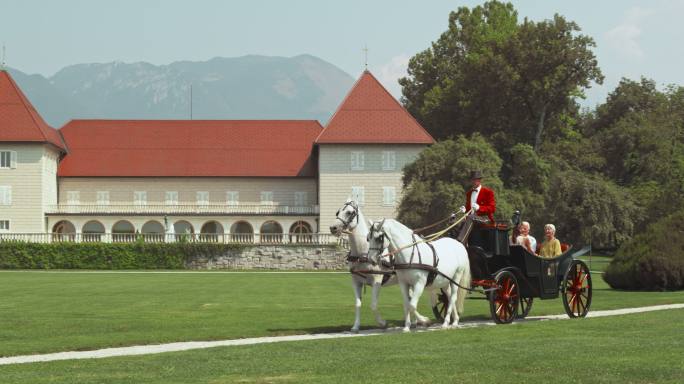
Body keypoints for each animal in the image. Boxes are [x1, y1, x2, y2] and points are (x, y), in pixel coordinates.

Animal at [328, 200, 428, 332]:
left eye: (349, 212)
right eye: (337, 212)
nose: (333, 228)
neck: (363, 253)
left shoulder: (377, 281)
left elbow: (374, 305)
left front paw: (382, 323)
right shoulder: (356, 282)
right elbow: (357, 304)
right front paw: (356, 326)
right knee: (410, 299)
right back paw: (414, 322)